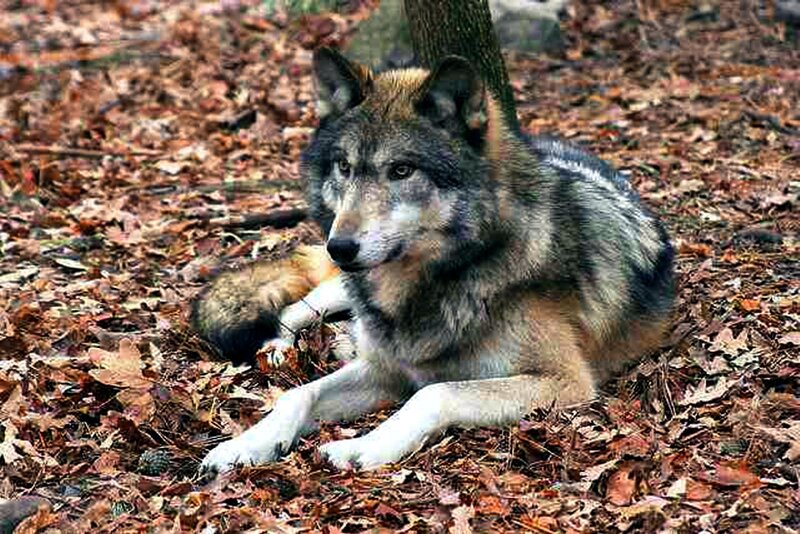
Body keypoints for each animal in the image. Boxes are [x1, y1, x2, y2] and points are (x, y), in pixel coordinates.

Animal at [194, 47, 675, 473]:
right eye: (344, 167)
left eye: (401, 171)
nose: (340, 246)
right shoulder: (383, 369)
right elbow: (299, 395)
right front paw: (244, 445)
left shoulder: (566, 381)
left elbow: (434, 392)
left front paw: (362, 447)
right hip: (340, 289)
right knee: (298, 307)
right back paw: (280, 347)